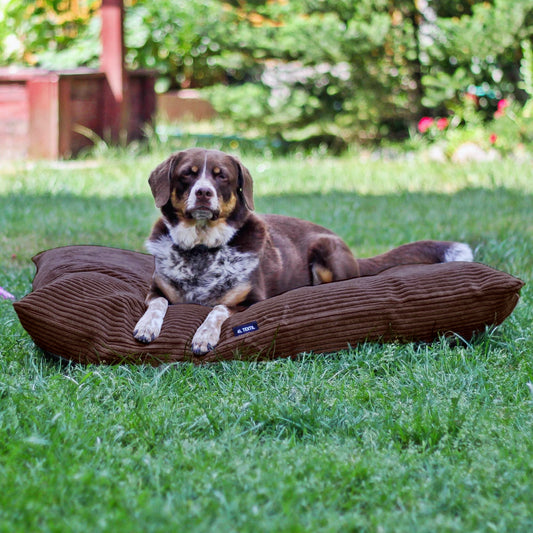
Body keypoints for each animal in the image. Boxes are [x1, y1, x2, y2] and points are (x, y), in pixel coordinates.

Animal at [135, 148, 472, 354]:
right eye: (188, 174)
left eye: (221, 176)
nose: (204, 192)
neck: (202, 249)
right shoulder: (155, 290)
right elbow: (159, 304)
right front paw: (147, 327)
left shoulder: (251, 301)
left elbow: (217, 309)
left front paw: (204, 335)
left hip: (326, 252)